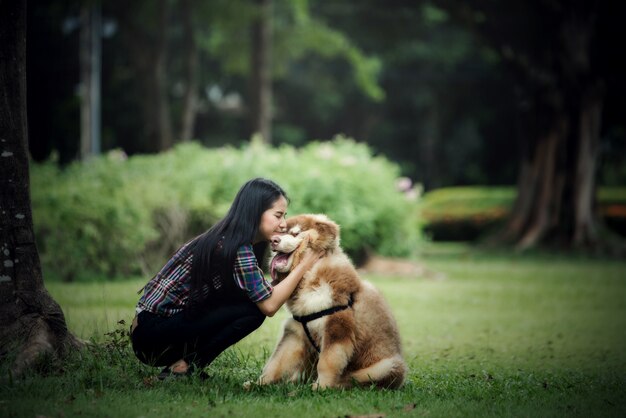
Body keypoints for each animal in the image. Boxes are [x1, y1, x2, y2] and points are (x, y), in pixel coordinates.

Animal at [258, 214, 408, 390]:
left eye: (295, 233)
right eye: (281, 231)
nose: (273, 240)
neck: (309, 273)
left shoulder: (336, 326)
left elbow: (326, 363)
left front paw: (321, 387)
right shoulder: (296, 331)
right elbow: (275, 362)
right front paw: (258, 383)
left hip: (385, 366)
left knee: (356, 379)